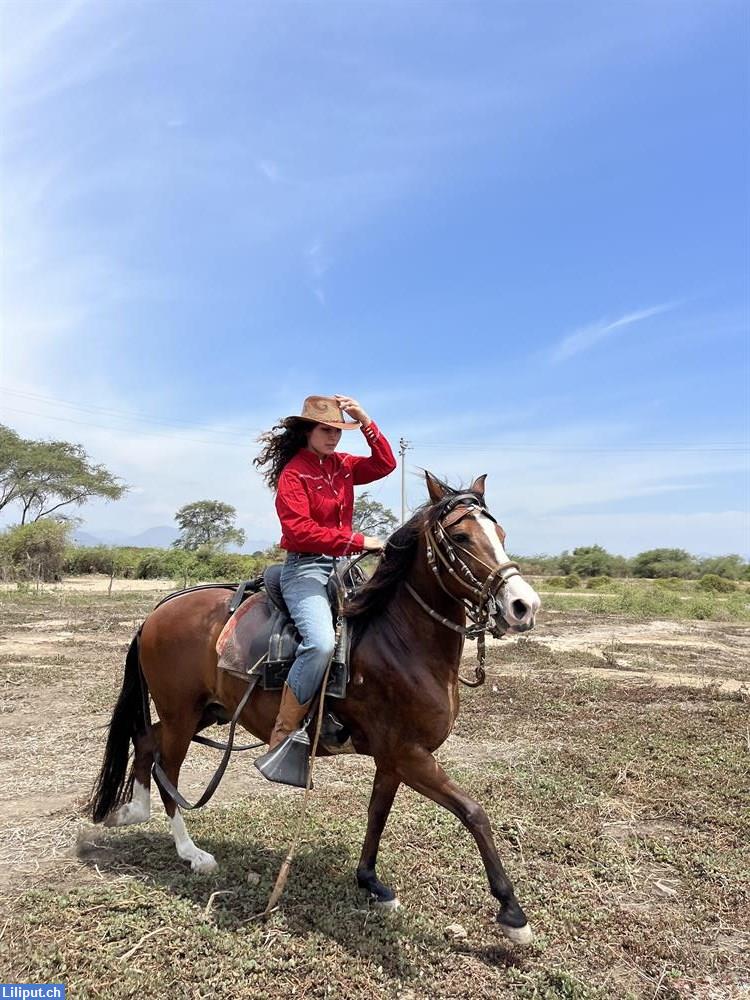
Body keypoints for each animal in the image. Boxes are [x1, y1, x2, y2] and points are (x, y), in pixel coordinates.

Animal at [88, 474, 544, 944]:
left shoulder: (392, 758)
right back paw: (191, 852)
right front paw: (513, 914)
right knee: (168, 770)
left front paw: (370, 882)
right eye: (460, 536)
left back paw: (132, 811)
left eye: (501, 535)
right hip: (182, 715)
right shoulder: (410, 755)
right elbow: (474, 813)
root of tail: (157, 611)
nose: (523, 606)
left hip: (206, 711)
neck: (399, 642)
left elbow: (377, 812)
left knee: (145, 739)